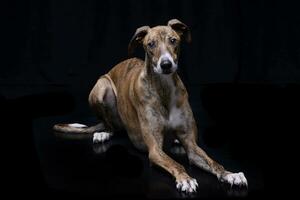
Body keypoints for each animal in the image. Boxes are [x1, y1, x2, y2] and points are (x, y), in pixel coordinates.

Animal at [53, 19, 246, 194]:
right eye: (150, 44)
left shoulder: (191, 145)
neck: (164, 88)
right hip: (102, 87)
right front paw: (186, 179)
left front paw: (230, 174)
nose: (166, 65)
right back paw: (104, 132)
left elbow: (213, 162)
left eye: (173, 40)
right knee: (109, 124)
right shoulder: (154, 149)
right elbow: (175, 163)